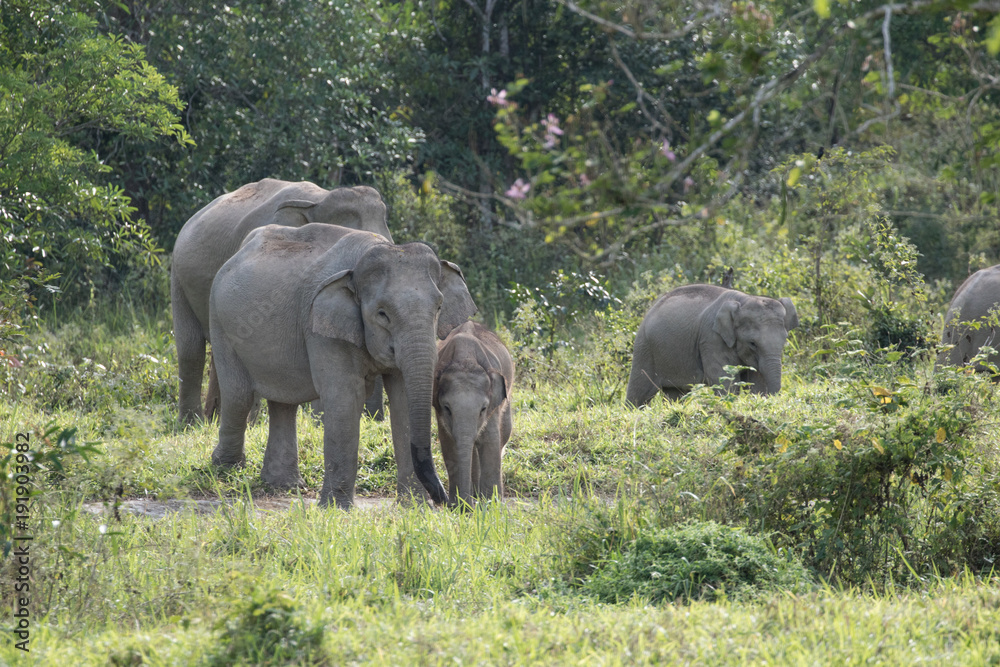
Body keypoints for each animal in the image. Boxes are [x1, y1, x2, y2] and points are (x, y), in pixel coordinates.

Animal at [171, 178, 392, 425]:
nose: (375, 420)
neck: (318, 198)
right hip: (178, 275)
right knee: (190, 347)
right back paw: (193, 423)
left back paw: (213, 419)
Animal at [208, 222, 477, 508]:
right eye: (382, 314)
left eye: (439, 307)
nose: (446, 500)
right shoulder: (322, 327)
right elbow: (346, 397)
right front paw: (336, 508)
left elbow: (403, 398)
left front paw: (414, 505)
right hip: (219, 321)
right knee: (239, 395)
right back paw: (226, 468)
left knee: (283, 402)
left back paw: (284, 485)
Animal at [433, 321, 514, 508]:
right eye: (447, 408)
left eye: (483, 409)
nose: (468, 505)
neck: (466, 359)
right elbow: (449, 444)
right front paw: (458, 507)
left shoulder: (493, 405)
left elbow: (490, 439)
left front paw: (492, 504)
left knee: (503, 434)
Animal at [626, 284, 799, 407]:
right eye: (752, 343)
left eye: (785, 340)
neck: (744, 300)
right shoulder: (711, 339)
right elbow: (723, 378)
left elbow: (757, 380)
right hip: (644, 347)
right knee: (639, 391)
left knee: (676, 393)